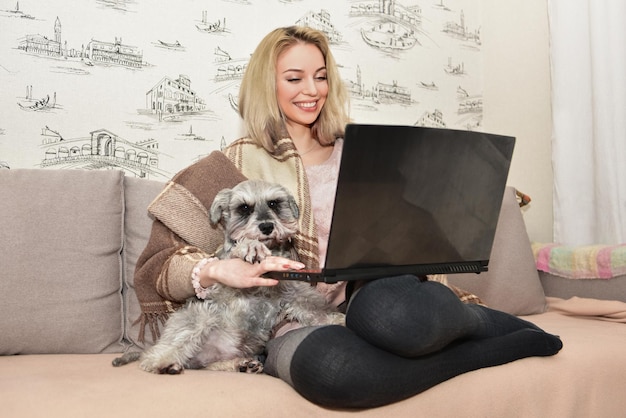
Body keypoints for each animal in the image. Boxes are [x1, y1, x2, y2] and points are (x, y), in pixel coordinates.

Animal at [114, 180, 344, 376]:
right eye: (244, 208)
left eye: (274, 203)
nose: (267, 226)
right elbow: (238, 249)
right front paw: (251, 247)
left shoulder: (294, 291)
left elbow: (316, 308)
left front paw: (338, 319)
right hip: (200, 315)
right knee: (164, 350)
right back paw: (163, 363)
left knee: (208, 365)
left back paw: (242, 364)